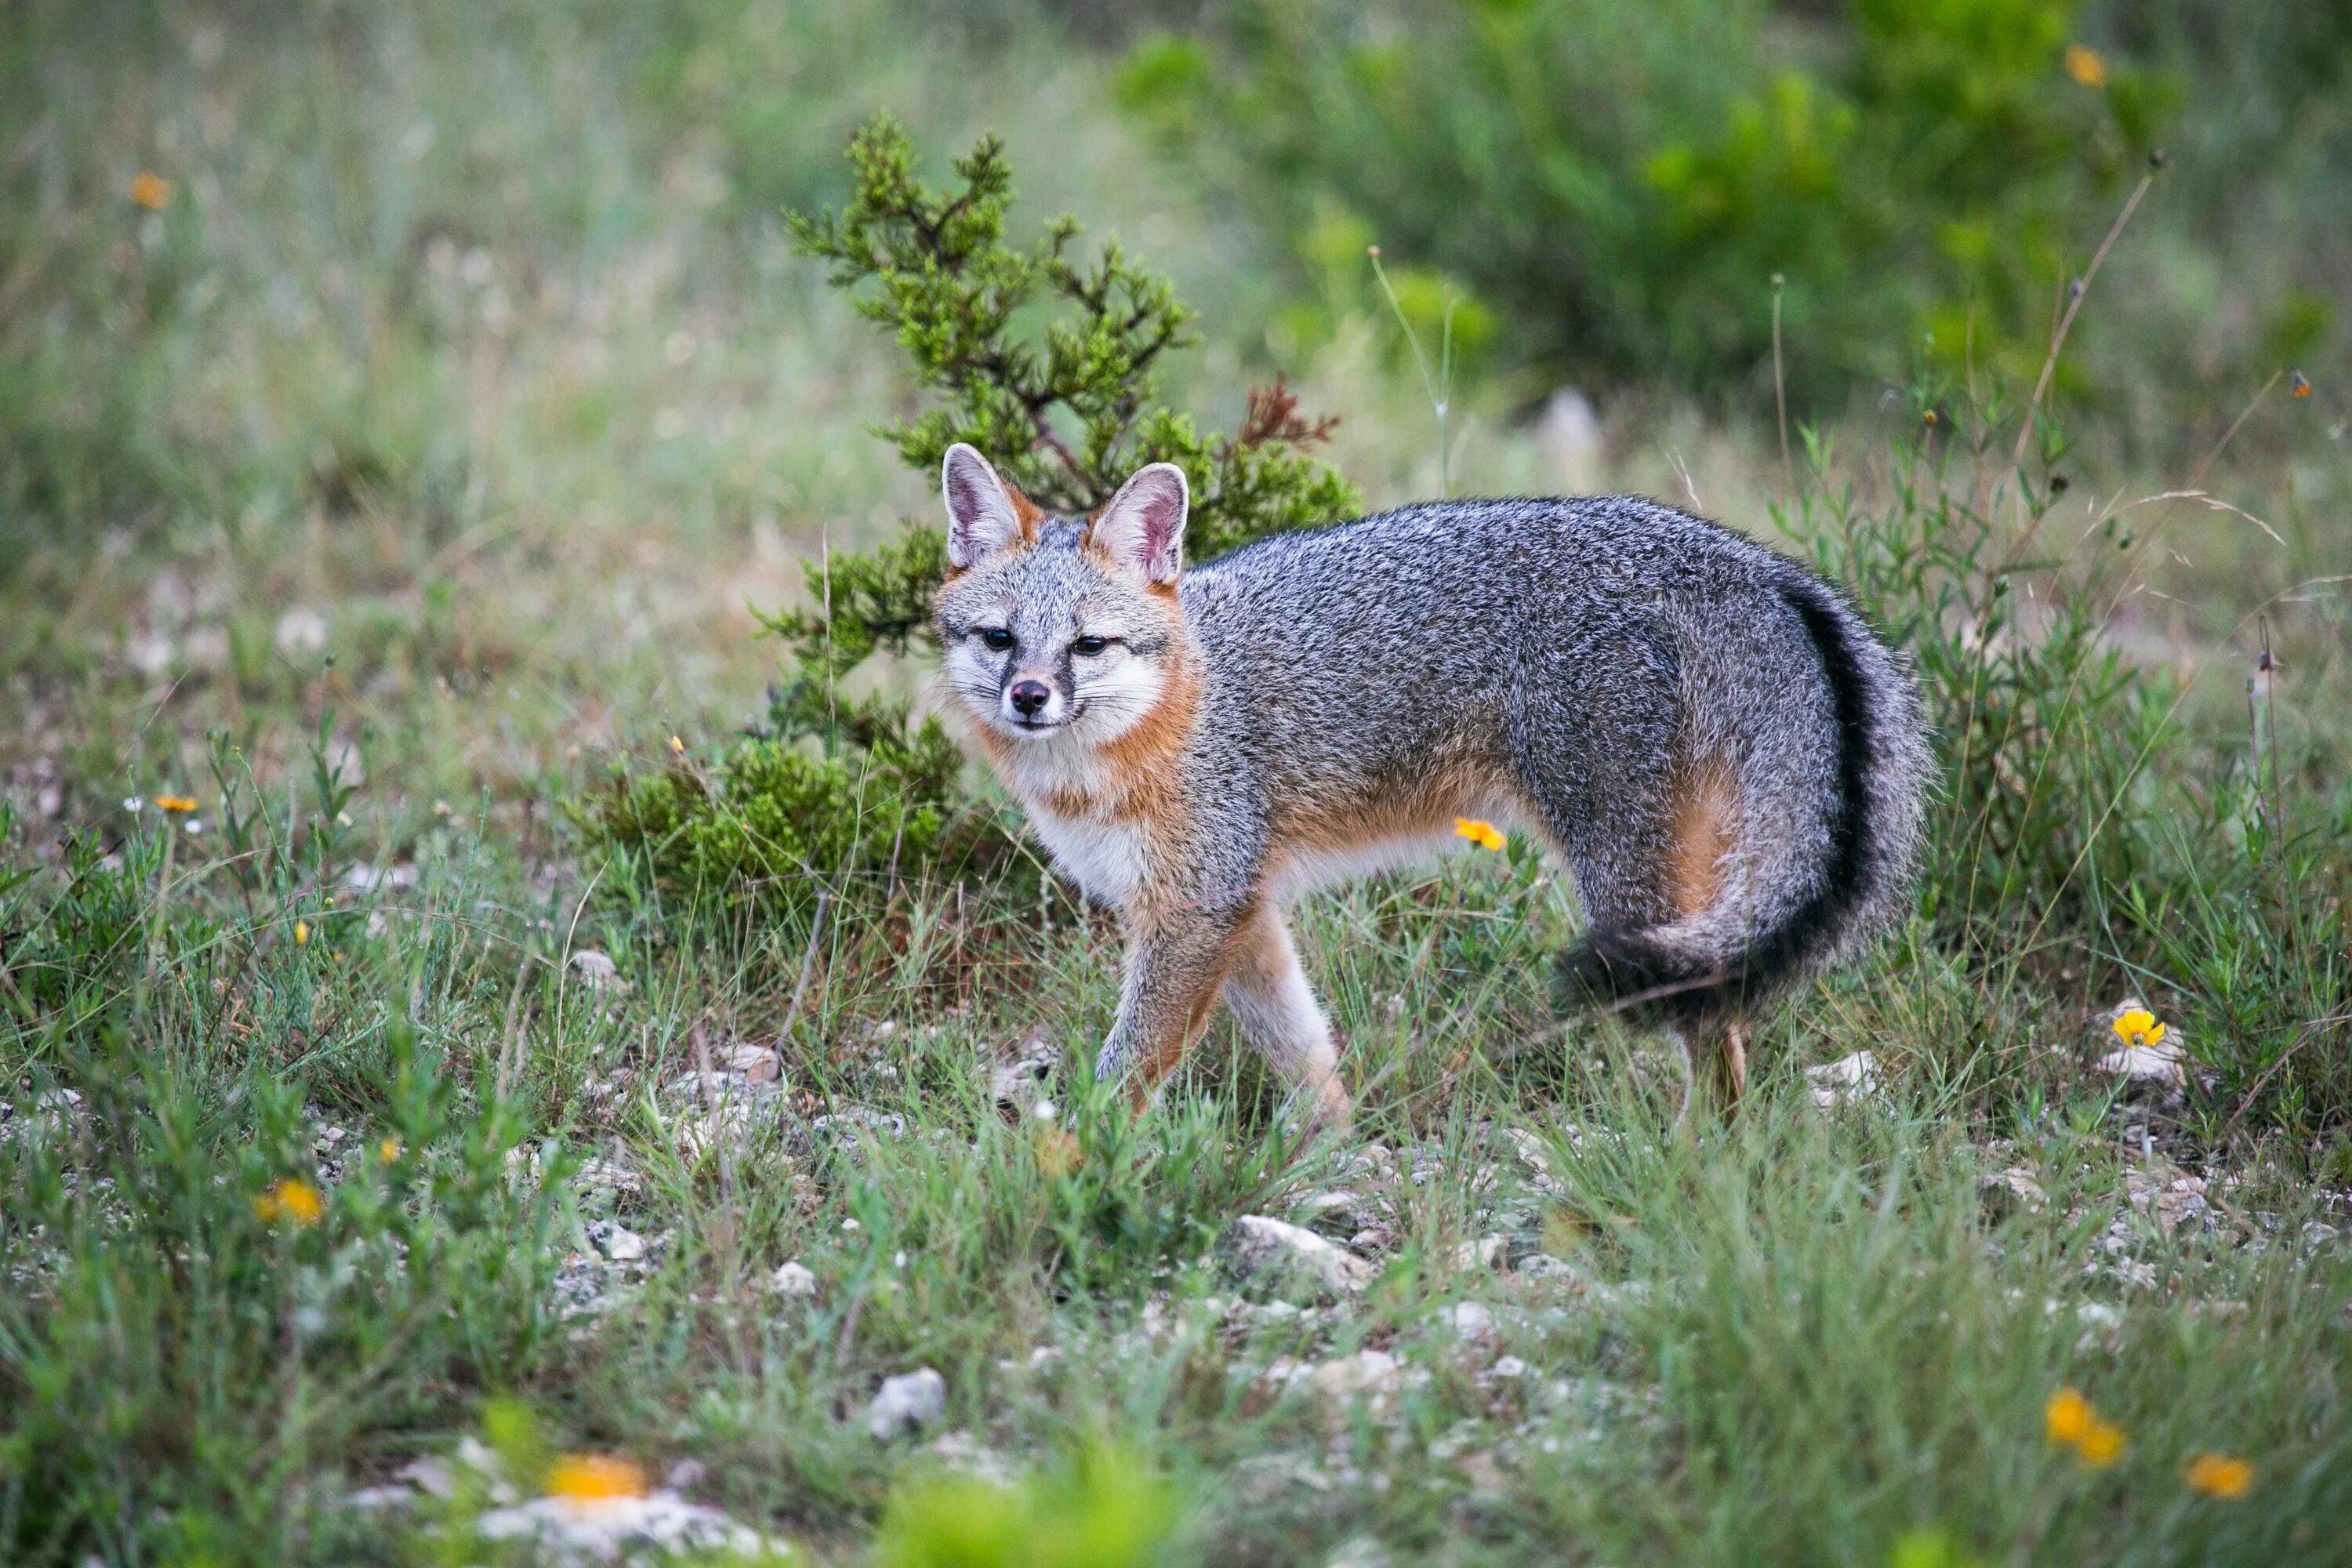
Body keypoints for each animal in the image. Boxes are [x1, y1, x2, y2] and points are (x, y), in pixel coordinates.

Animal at [927, 446, 1919, 1123]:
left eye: (1087, 644)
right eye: (1000, 638)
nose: (1029, 696)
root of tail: (1746, 562)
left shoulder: (1194, 911)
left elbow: (1126, 1065)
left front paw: (1078, 1157)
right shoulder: (1240, 911)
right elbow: (1303, 1047)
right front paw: (1323, 1150)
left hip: (1630, 889)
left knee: (1715, 1029)